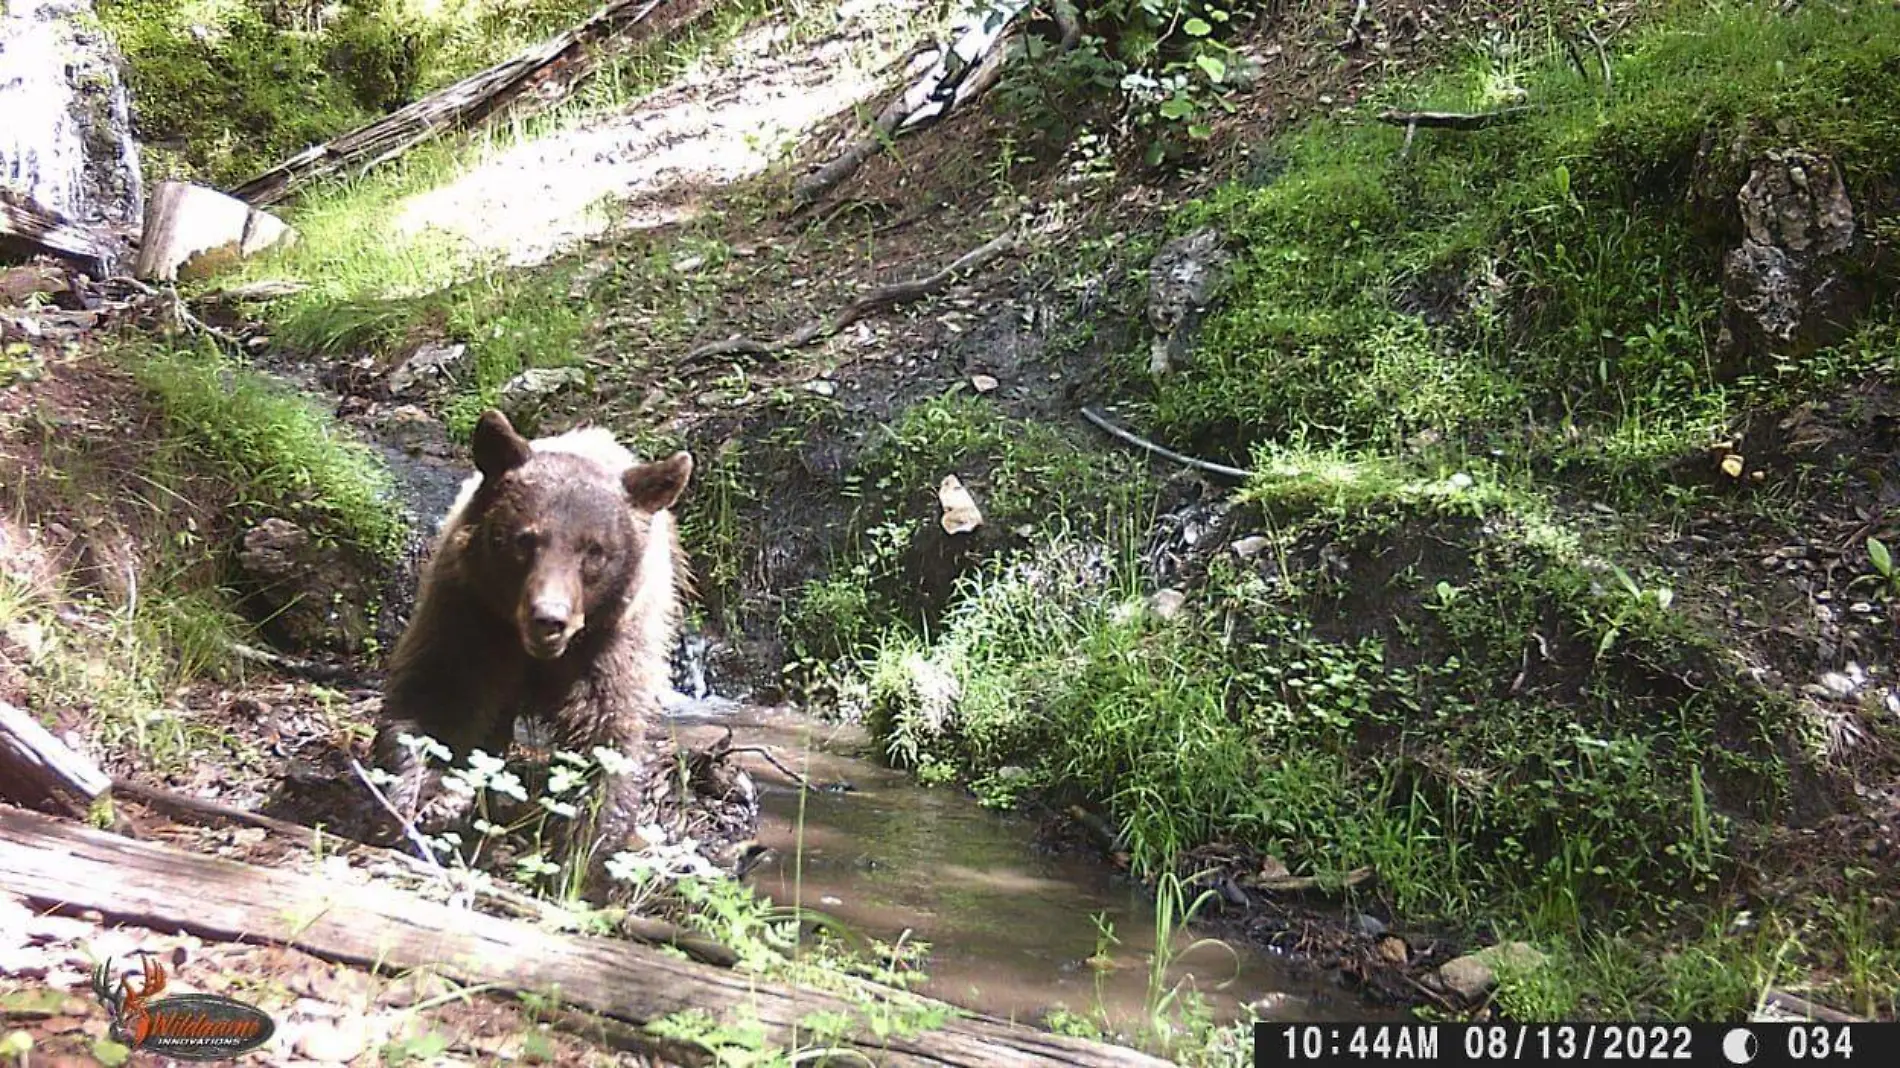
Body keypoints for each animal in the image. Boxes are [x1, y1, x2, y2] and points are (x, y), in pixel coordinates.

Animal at [366, 404, 695, 889]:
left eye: (595, 551)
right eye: (525, 538)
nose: (549, 619)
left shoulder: (611, 643)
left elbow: (604, 740)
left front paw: (583, 857)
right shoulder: (470, 615)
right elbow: (437, 701)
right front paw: (423, 804)